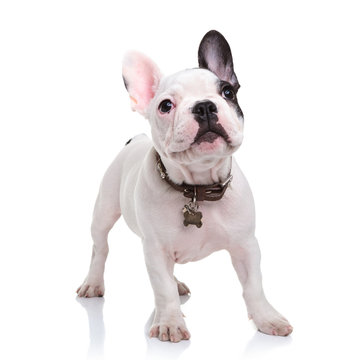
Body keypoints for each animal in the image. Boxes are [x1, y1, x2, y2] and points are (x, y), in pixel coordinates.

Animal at [76, 30, 292, 340]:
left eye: (227, 92)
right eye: (166, 105)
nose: (204, 106)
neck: (198, 187)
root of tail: (136, 138)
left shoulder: (246, 245)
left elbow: (253, 285)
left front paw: (267, 319)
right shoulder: (156, 249)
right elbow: (162, 288)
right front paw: (170, 323)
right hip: (104, 213)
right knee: (100, 249)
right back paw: (93, 283)